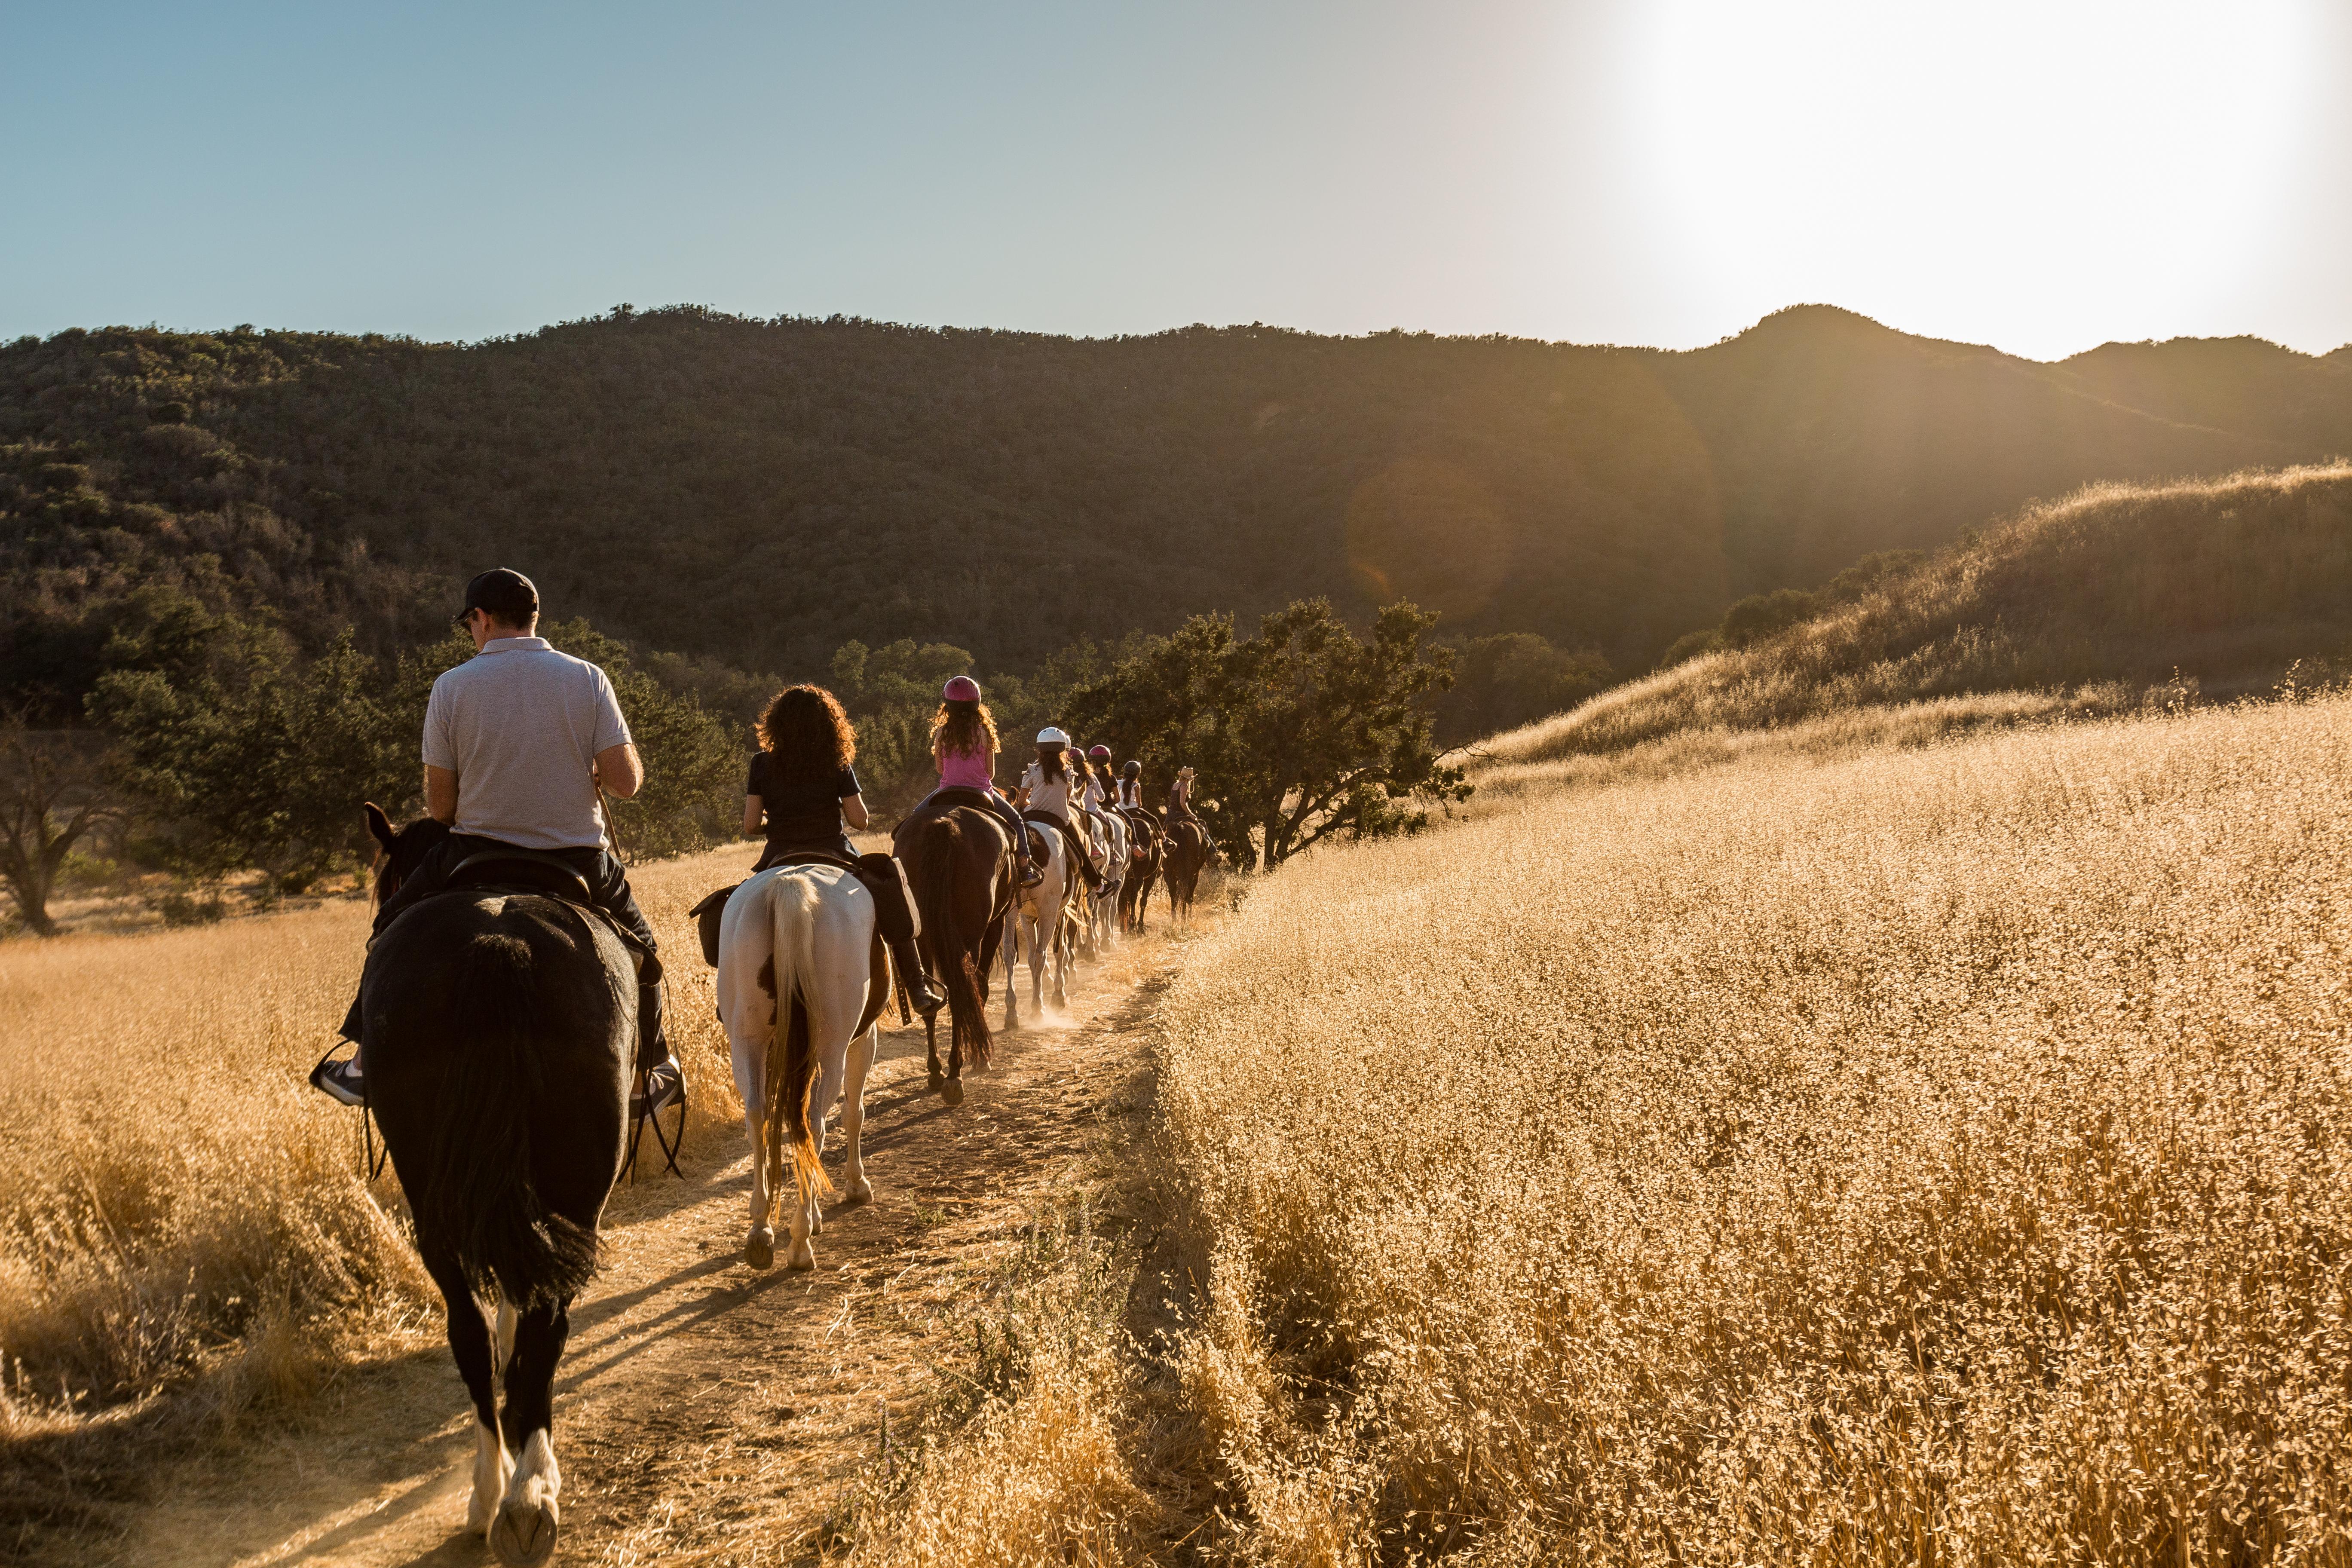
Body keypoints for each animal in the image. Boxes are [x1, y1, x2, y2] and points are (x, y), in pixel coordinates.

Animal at [357, 804, 635, 1561]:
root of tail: (495, 940)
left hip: (434, 1194)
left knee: (471, 1335)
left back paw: (494, 1496)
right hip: (577, 1190)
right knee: (544, 1327)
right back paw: (527, 1495)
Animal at [889, 799, 1011, 1105]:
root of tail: (944, 825)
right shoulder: (996, 925)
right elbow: (981, 988)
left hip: (922, 938)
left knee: (930, 1000)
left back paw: (936, 1070)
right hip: (970, 938)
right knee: (960, 993)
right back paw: (956, 1072)